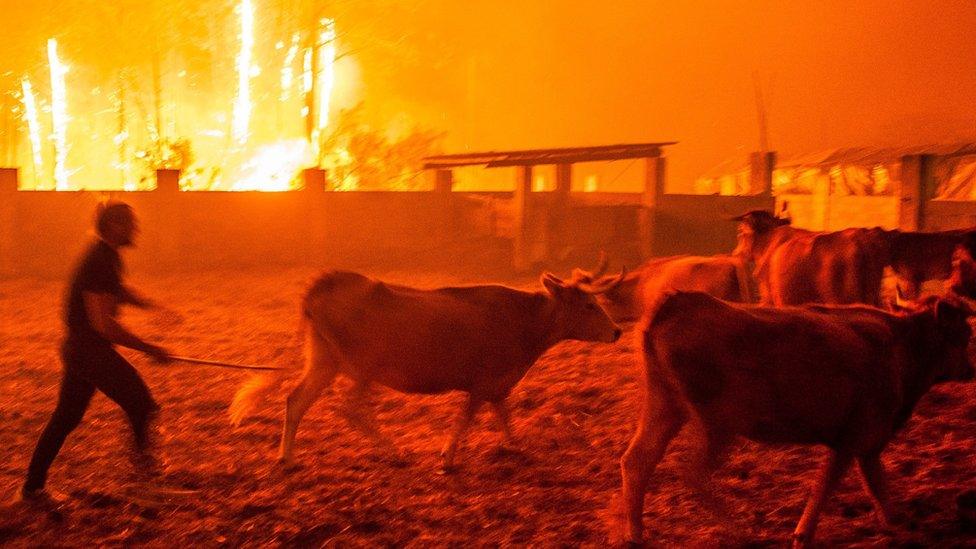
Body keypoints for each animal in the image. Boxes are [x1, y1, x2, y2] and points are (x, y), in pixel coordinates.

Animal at [230, 268, 624, 468]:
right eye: (589, 305)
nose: (617, 331)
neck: (525, 320)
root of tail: (325, 283)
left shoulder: (499, 384)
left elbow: (504, 415)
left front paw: (515, 446)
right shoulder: (483, 382)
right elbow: (467, 417)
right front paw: (448, 456)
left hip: (324, 359)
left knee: (296, 401)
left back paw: (286, 456)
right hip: (362, 366)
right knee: (351, 408)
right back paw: (393, 451)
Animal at [616, 292, 976, 544]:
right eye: (964, 333)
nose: (971, 368)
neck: (901, 348)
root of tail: (678, 303)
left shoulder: (867, 445)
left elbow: (878, 488)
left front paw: (896, 526)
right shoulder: (854, 439)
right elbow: (826, 486)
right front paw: (802, 534)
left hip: (664, 406)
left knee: (638, 460)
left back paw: (634, 533)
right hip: (716, 423)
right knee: (693, 473)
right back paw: (740, 531)